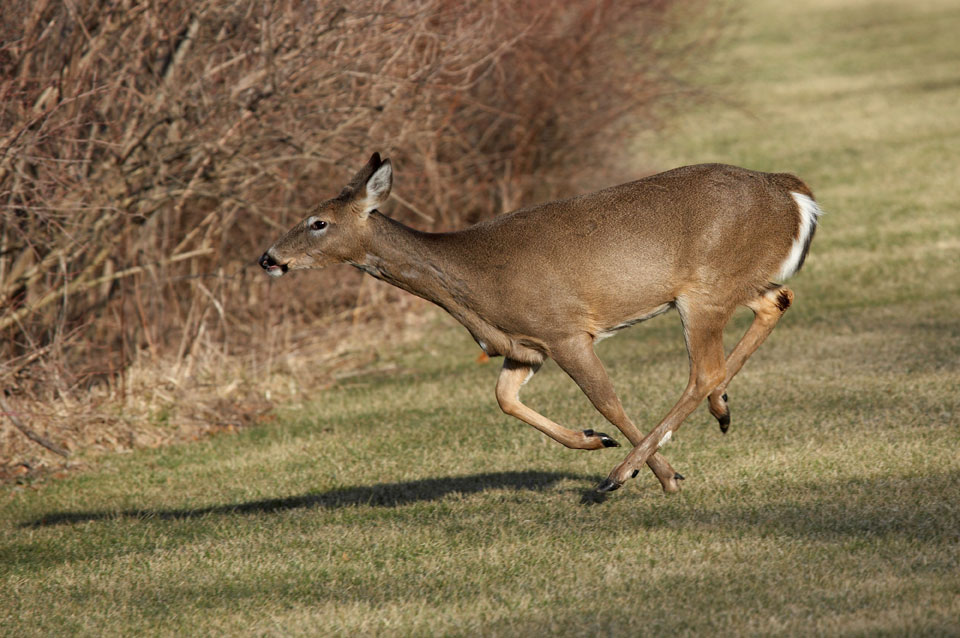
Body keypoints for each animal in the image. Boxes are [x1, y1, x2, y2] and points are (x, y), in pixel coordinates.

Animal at [258, 154, 820, 496]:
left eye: (318, 222)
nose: (268, 258)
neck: (473, 284)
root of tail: (790, 192)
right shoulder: (524, 347)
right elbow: (504, 399)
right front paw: (594, 440)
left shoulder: (564, 329)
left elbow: (608, 400)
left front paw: (661, 474)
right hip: (733, 283)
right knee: (777, 301)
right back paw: (720, 410)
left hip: (702, 290)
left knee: (705, 369)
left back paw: (620, 475)